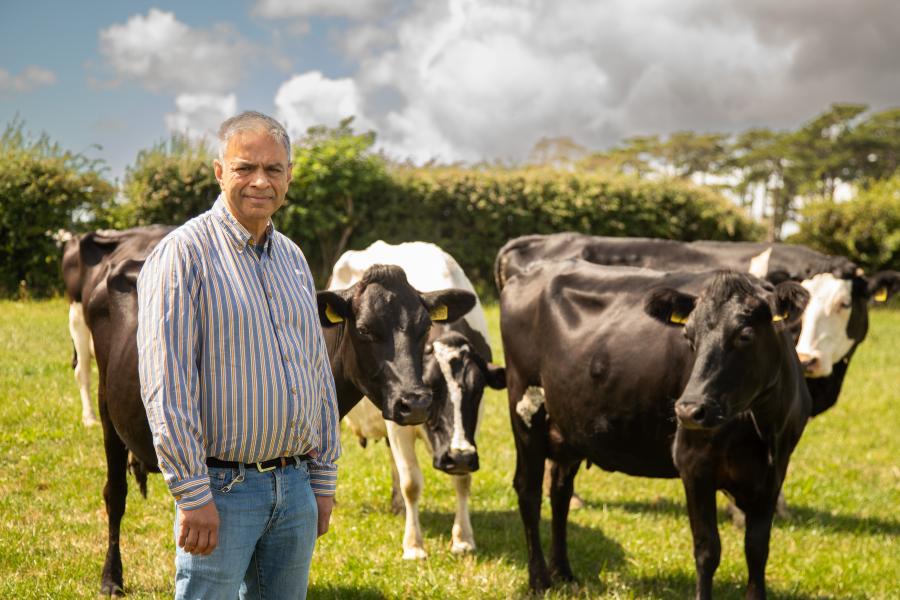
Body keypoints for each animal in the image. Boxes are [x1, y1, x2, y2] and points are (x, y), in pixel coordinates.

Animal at [77, 226, 474, 596]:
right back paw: (111, 578)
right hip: (106, 406)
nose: (415, 402)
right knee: (115, 495)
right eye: (365, 330)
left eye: (425, 327)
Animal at [328, 241, 506, 560]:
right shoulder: (399, 416)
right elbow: (411, 480)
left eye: (477, 390)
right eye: (433, 386)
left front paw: (463, 538)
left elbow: (462, 480)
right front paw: (414, 545)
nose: (460, 456)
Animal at [502, 260, 812, 596]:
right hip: (525, 410)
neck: (763, 430)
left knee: (559, 492)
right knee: (529, 490)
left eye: (745, 335)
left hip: (569, 429)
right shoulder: (694, 463)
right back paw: (539, 580)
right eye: (688, 336)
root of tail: (532, 269)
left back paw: (564, 573)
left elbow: (757, 549)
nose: (689, 409)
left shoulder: (774, 472)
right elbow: (707, 550)